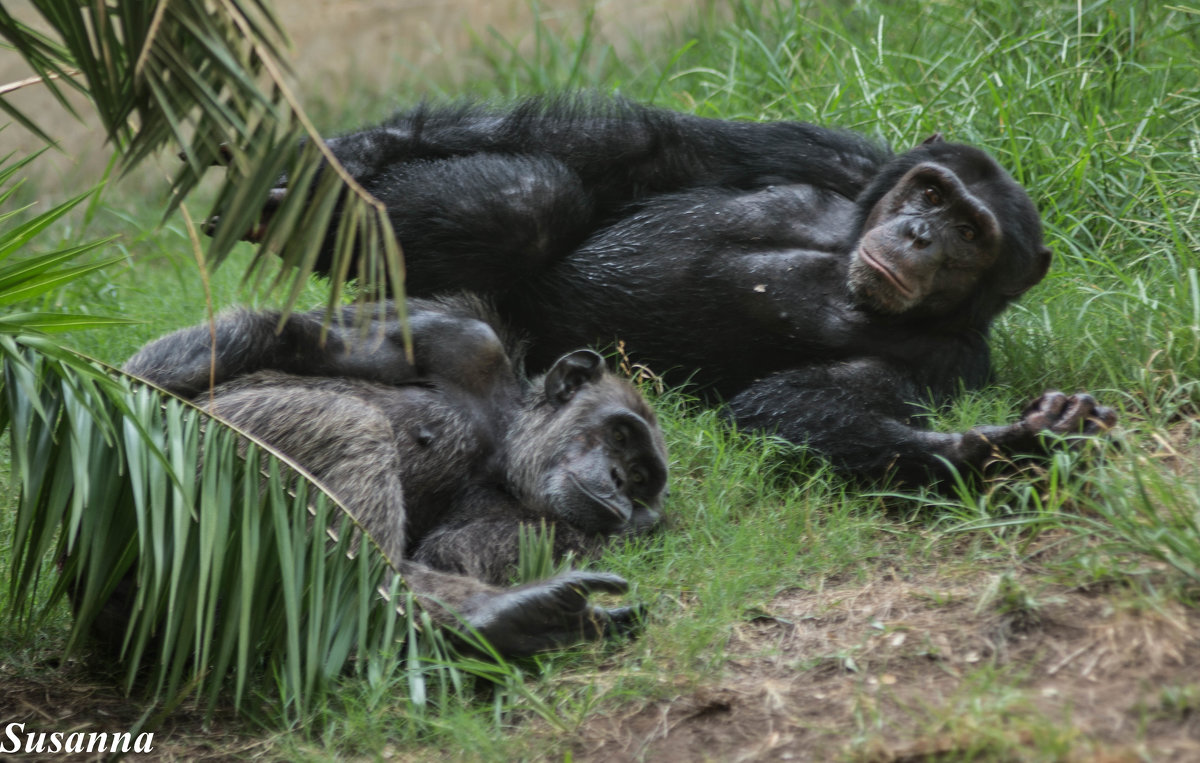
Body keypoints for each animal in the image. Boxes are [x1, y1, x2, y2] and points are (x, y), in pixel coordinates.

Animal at [125, 296, 672, 657]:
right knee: (354, 424)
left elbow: (449, 552)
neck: (500, 438)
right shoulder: (462, 342)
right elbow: (293, 339)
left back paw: (509, 619)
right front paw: (126, 393)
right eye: (619, 435)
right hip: (216, 448)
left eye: (640, 476)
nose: (619, 479)